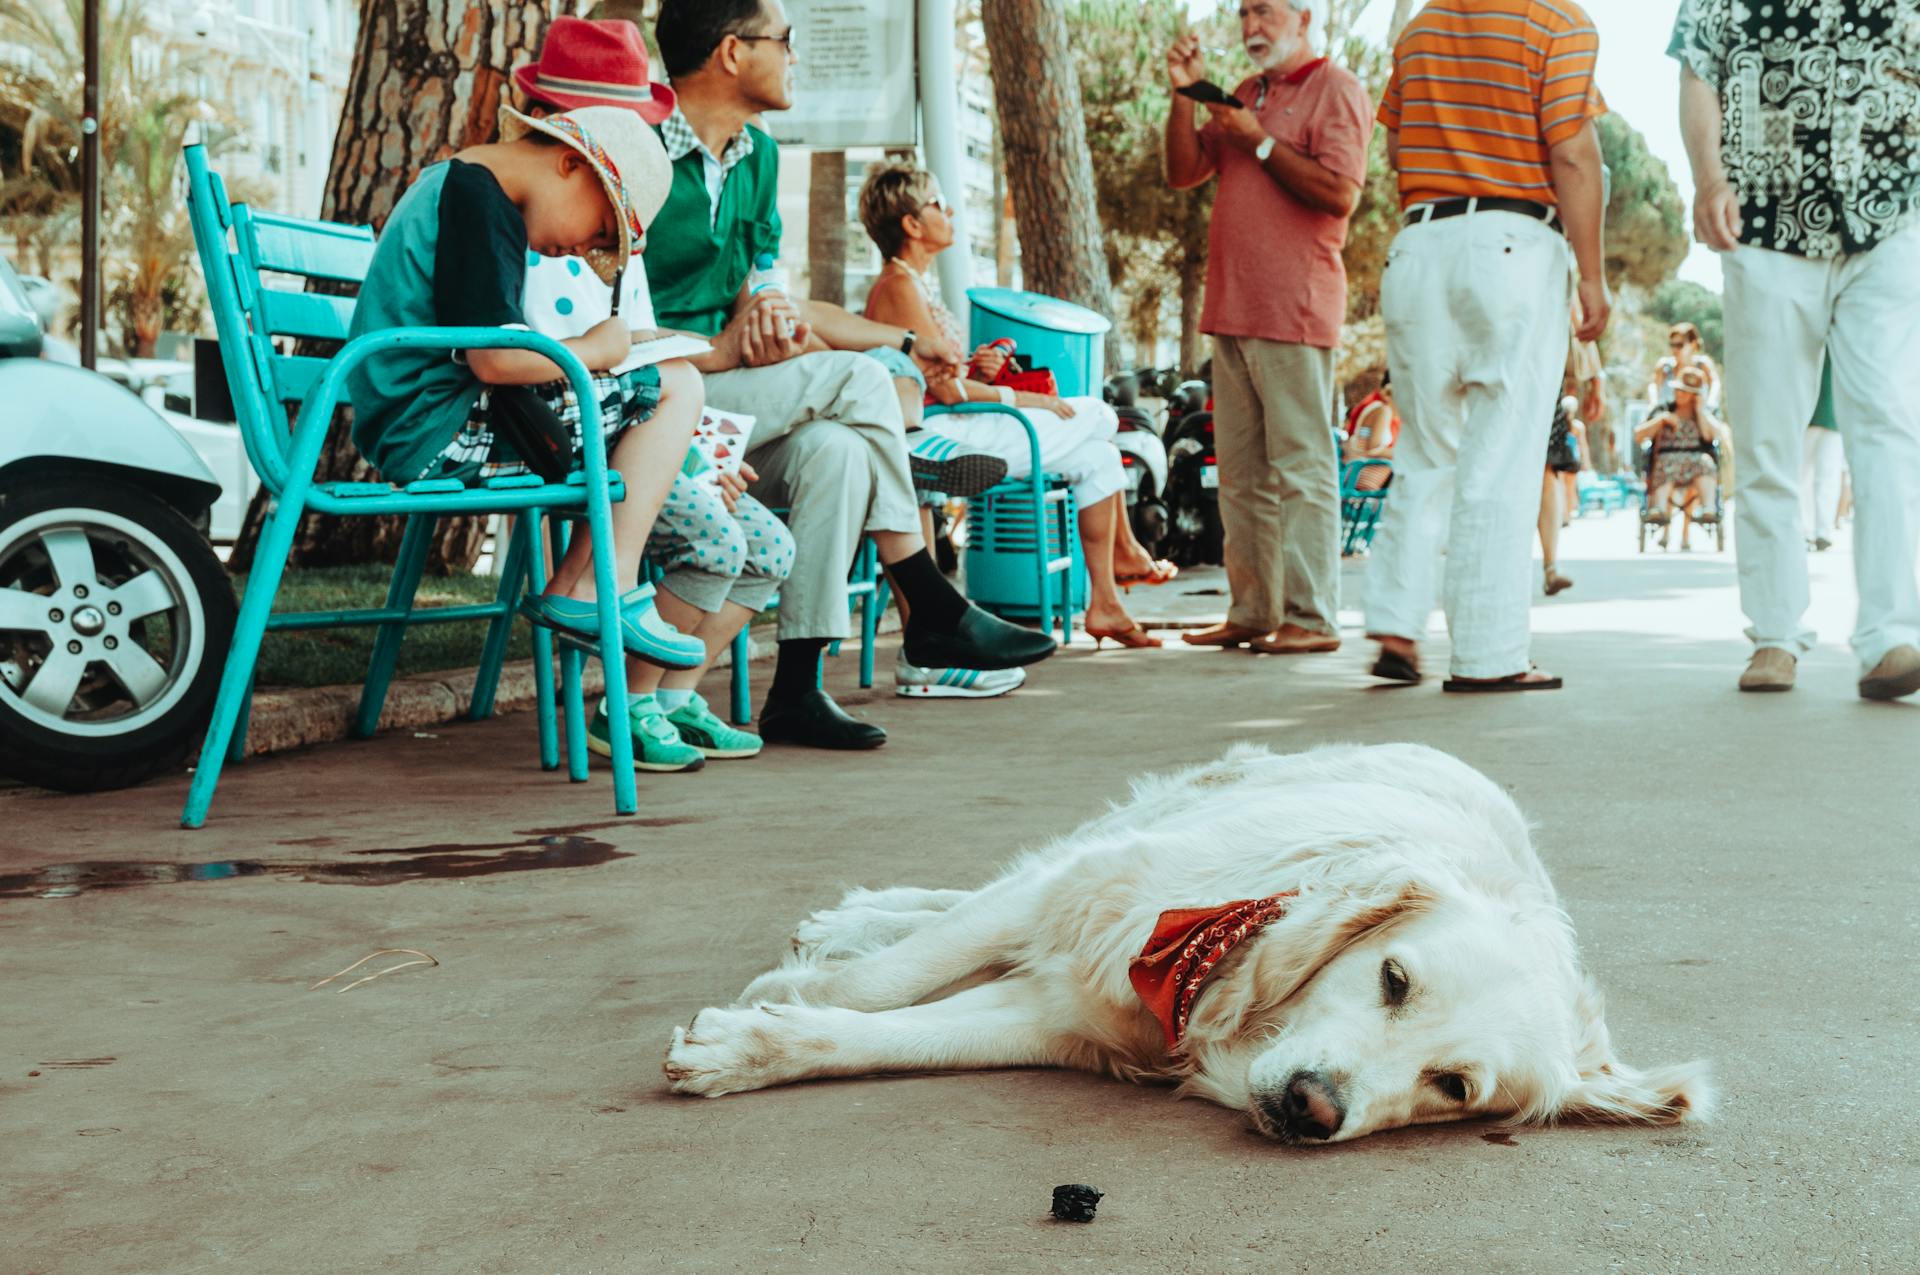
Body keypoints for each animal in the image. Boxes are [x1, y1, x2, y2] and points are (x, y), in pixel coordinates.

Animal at [668, 741, 1720, 1136]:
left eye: (1454, 1085)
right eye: (1392, 977)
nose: (1310, 1108)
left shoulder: (1059, 1016)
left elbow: (892, 1032)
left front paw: (750, 1045)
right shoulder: (1088, 896)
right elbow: (895, 978)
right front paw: (790, 990)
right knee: (972, 893)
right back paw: (855, 917)